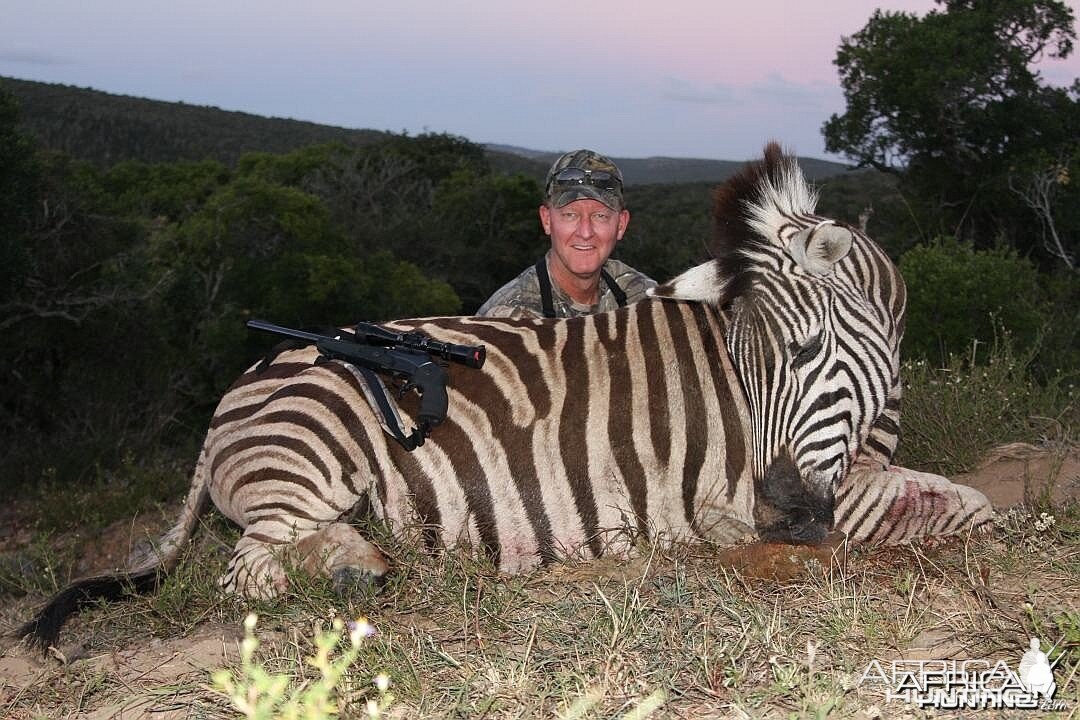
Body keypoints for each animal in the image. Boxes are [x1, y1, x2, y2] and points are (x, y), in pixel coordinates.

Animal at [21, 143, 989, 651]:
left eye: (806, 351)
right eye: (752, 368)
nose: (782, 514)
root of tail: (232, 398)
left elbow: (961, 499)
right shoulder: (791, 496)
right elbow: (970, 512)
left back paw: (363, 557)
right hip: (313, 458)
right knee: (246, 572)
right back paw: (354, 570)